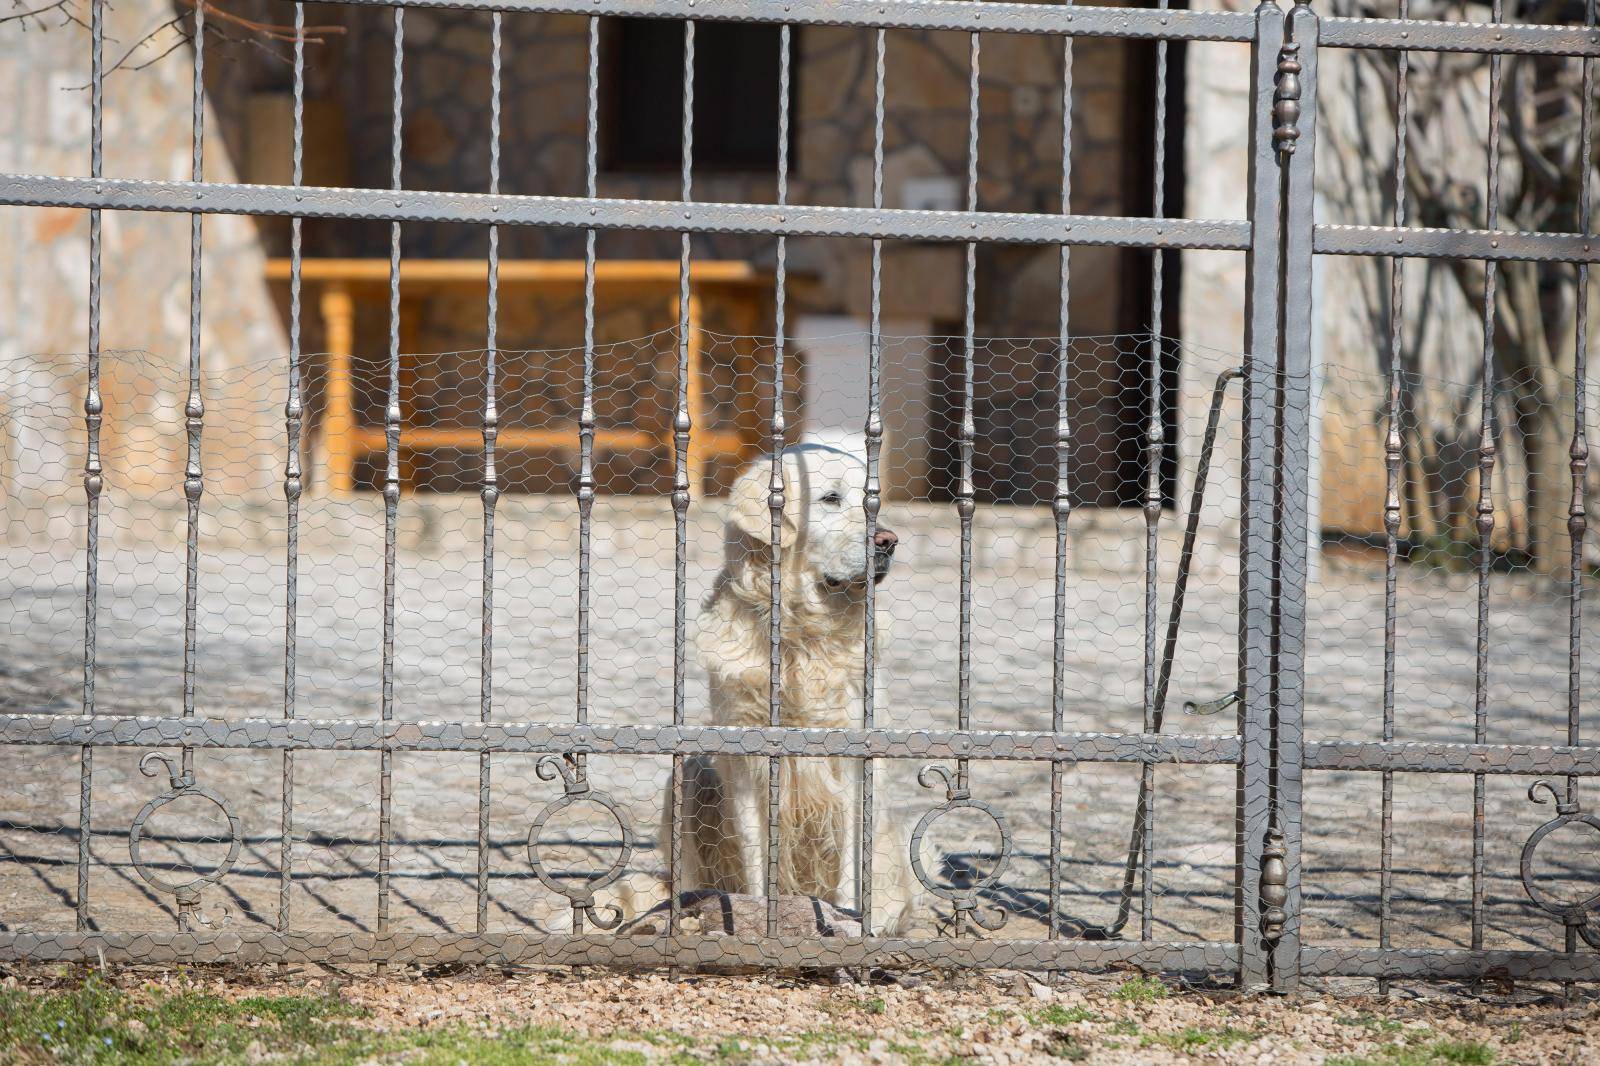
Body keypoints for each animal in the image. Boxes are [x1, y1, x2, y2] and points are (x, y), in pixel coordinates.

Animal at [659, 441, 915, 928]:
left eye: (871, 501)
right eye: (830, 498)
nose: (889, 541)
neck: (801, 634)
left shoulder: (854, 758)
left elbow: (851, 858)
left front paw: (849, 916)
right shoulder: (745, 758)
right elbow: (758, 855)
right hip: (691, 770)